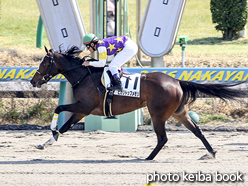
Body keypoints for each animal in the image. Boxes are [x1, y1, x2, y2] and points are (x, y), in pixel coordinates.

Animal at [30, 46, 246, 160]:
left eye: (44, 63)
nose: (33, 81)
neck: (83, 76)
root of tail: (177, 81)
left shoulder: (84, 107)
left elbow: (59, 109)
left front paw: (51, 134)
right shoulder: (81, 110)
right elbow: (65, 127)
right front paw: (46, 142)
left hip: (157, 113)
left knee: (163, 138)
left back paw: (149, 157)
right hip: (180, 113)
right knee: (197, 131)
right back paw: (211, 152)